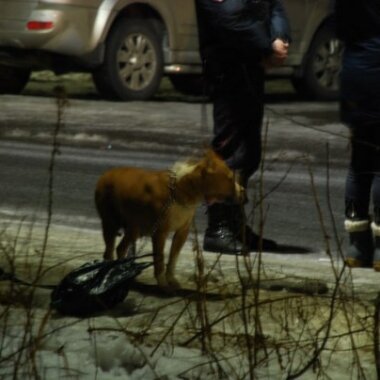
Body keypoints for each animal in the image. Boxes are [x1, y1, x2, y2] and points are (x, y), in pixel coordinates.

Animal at [95, 148, 243, 288]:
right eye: (230, 178)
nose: (244, 193)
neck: (180, 190)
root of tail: (105, 174)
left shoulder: (182, 233)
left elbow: (173, 259)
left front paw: (171, 280)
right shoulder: (160, 233)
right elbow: (159, 259)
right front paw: (162, 283)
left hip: (134, 228)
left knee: (121, 248)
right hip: (110, 224)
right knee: (110, 252)